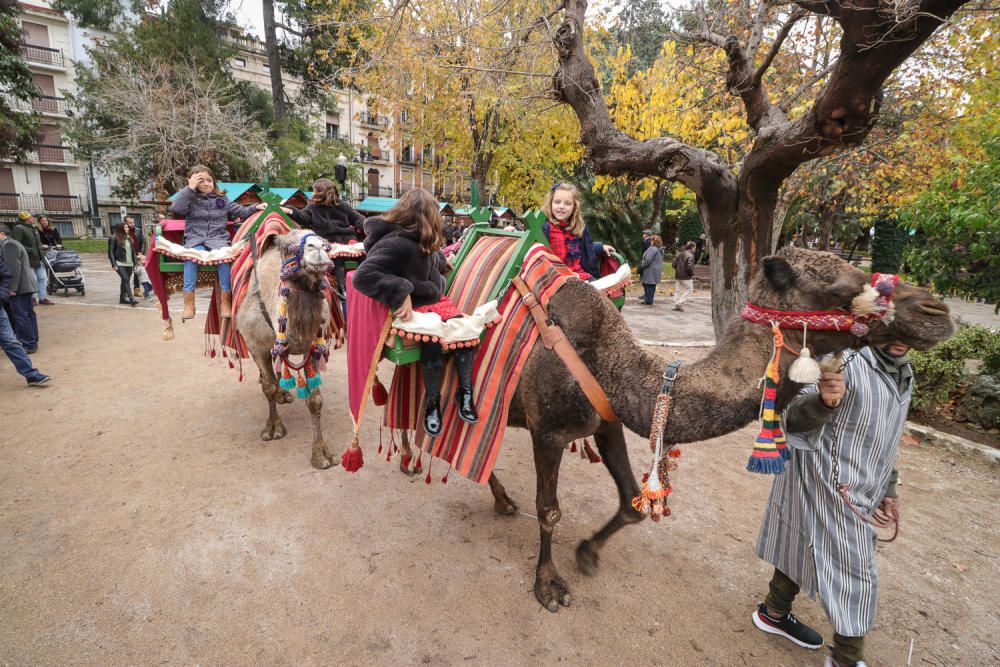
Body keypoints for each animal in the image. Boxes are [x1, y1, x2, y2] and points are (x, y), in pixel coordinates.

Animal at [236, 230, 342, 470]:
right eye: (287, 248)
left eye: (325, 243)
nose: (317, 248)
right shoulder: (257, 346)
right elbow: (268, 389)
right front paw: (273, 428)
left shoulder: (312, 348)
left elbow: (315, 400)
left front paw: (322, 454)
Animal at [396, 245, 952, 612]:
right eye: (840, 287)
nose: (937, 310)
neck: (608, 361)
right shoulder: (549, 431)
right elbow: (550, 511)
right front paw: (549, 586)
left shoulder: (606, 421)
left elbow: (630, 501)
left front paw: (588, 554)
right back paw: (406, 458)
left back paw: (499, 497)